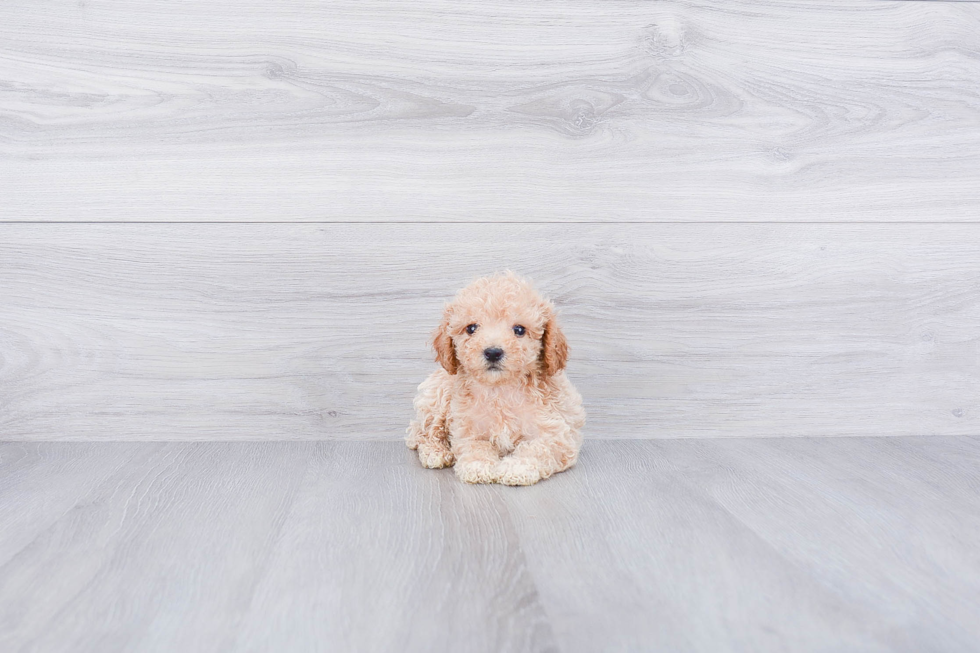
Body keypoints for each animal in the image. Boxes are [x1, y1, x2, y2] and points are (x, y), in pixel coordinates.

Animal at [408, 272, 584, 484]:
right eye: (471, 328)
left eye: (519, 330)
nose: (493, 352)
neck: (500, 389)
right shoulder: (467, 430)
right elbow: (476, 447)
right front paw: (478, 466)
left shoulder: (558, 435)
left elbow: (536, 449)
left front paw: (517, 468)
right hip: (437, 396)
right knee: (423, 432)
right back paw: (436, 452)